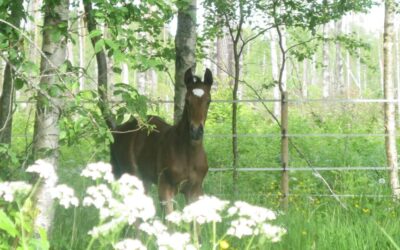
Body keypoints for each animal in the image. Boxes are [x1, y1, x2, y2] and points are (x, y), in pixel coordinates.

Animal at [110, 68, 212, 213]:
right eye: (187, 100)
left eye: (209, 101)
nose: (196, 131)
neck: (188, 154)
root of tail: (117, 130)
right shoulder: (165, 188)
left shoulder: (195, 191)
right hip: (131, 177)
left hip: (144, 181)